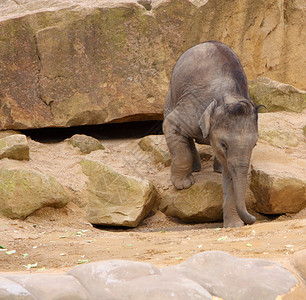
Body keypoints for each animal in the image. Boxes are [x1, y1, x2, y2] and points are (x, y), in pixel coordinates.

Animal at [163, 40, 260, 227]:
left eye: (255, 145)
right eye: (224, 144)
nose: (254, 219)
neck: (230, 97)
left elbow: (231, 174)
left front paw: (233, 226)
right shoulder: (193, 108)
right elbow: (171, 125)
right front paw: (183, 185)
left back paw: (216, 170)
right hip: (171, 95)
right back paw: (194, 170)